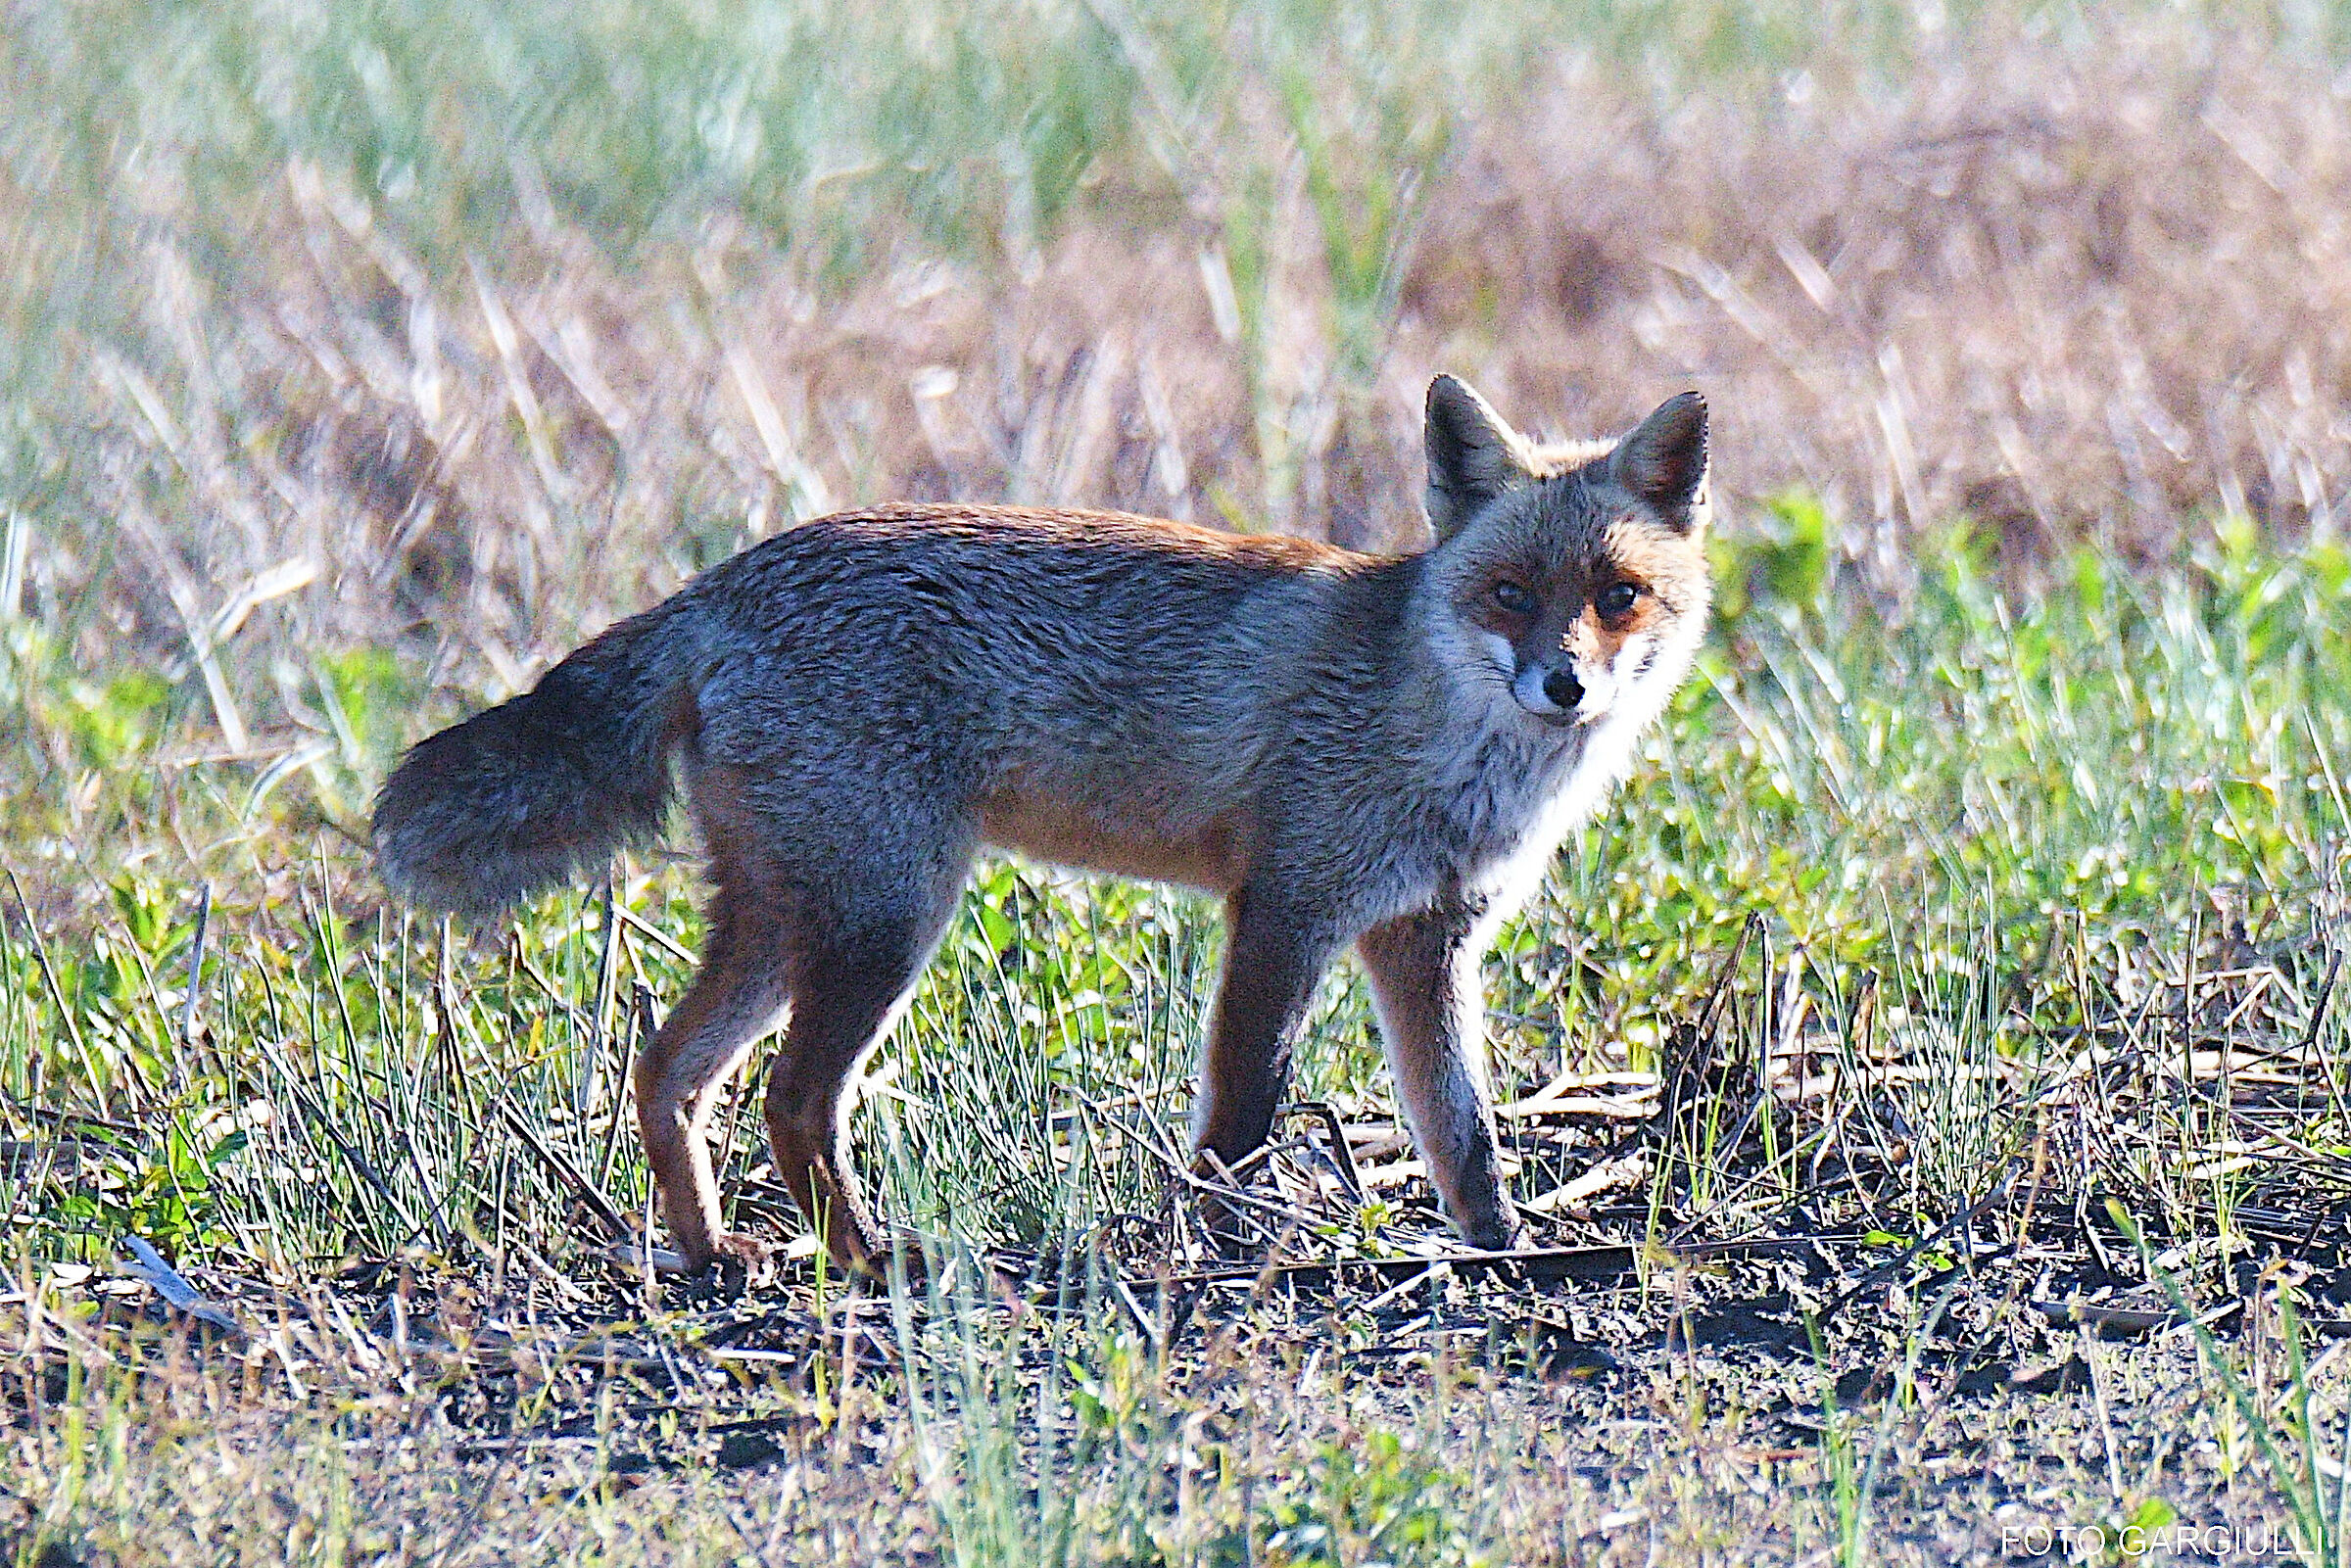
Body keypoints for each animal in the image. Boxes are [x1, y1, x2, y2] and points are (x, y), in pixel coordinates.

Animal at [371, 375, 1713, 1280]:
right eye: (1509, 594)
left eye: (1617, 596)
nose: (1563, 686)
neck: (1434, 727)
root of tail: (718, 585)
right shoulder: (1286, 906)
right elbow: (1243, 1112)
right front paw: (1219, 1248)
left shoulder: (1424, 939)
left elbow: (1463, 1128)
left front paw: (1501, 1248)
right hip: (887, 915)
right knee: (793, 1101)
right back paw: (874, 1260)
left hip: (787, 918)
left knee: (667, 1069)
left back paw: (711, 1255)